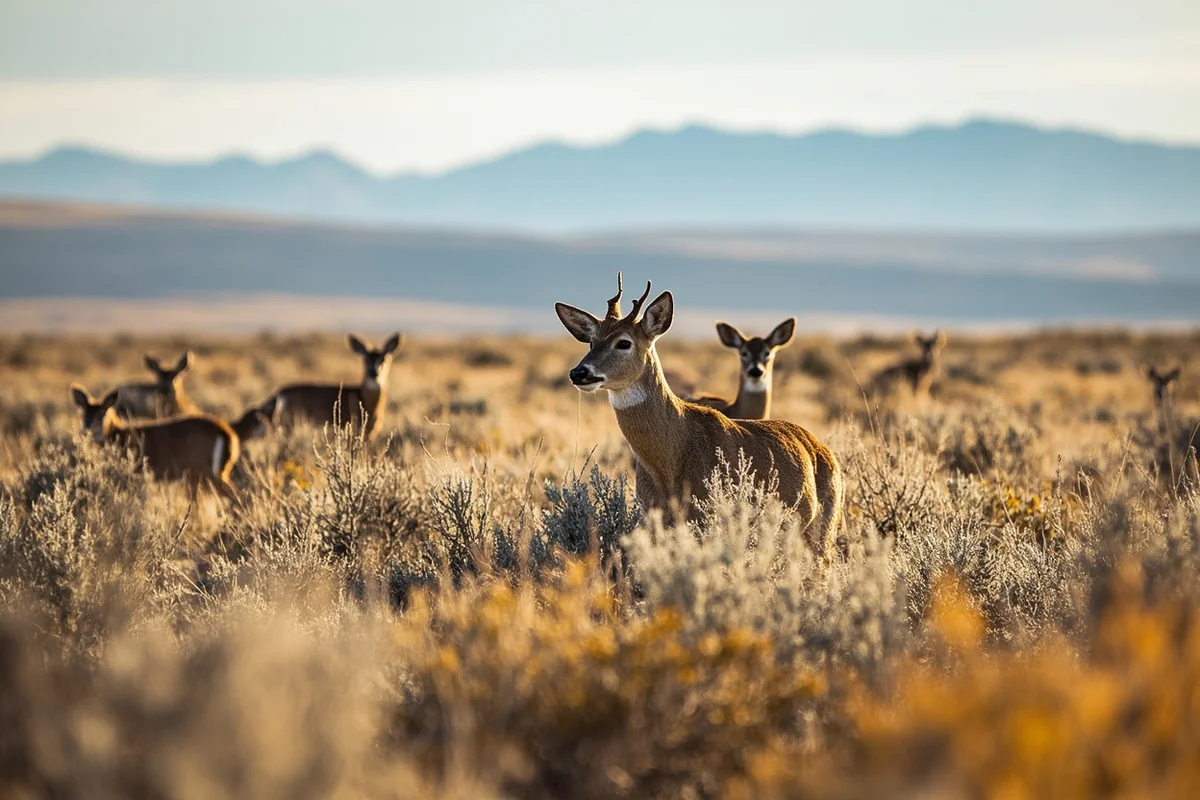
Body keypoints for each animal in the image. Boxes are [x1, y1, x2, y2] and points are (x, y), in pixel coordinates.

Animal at [70, 384, 241, 500]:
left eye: (102, 414)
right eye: (83, 414)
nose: (86, 431)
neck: (119, 436)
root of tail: (227, 433)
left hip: (207, 472)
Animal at [555, 274, 843, 558]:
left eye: (624, 342)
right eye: (592, 341)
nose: (579, 372)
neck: (671, 462)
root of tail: (822, 449)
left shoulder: (708, 514)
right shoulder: (653, 517)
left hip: (824, 525)